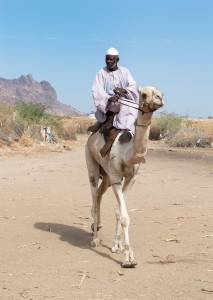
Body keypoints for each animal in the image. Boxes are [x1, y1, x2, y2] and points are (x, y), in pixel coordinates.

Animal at [85, 86, 165, 268]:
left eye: (160, 92)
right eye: (144, 94)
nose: (159, 98)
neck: (127, 153)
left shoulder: (130, 179)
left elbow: (118, 211)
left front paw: (117, 246)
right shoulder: (116, 177)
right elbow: (124, 217)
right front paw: (128, 258)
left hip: (106, 176)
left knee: (99, 195)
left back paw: (97, 226)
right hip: (91, 164)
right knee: (94, 196)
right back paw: (95, 239)